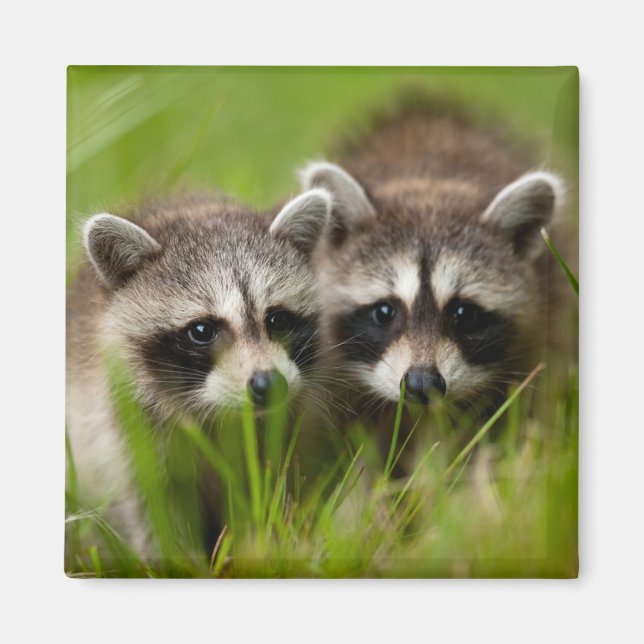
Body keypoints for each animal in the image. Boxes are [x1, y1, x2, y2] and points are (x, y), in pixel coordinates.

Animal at [66, 188, 331, 559]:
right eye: (202, 330)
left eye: (277, 319)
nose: (268, 384)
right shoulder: (122, 425)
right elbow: (152, 504)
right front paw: (176, 559)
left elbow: (275, 484)